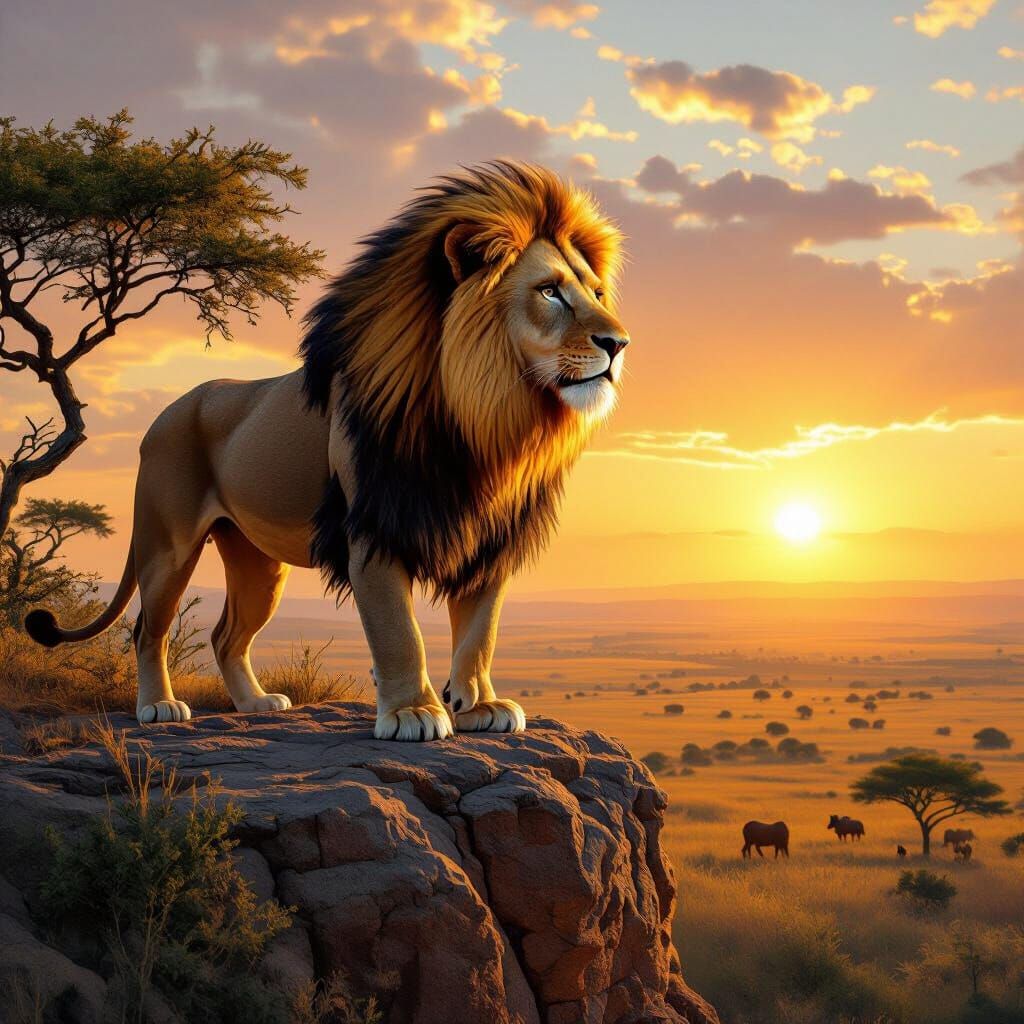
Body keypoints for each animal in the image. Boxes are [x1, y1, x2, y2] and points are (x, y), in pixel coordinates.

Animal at [25, 161, 629, 741]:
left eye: (597, 294)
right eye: (549, 291)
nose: (619, 343)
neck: (485, 420)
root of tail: (167, 412)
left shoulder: (489, 538)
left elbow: (481, 631)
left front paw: (479, 706)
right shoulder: (373, 528)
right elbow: (398, 631)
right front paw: (412, 713)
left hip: (257, 562)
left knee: (226, 635)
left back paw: (255, 704)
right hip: (167, 545)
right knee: (148, 629)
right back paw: (158, 706)